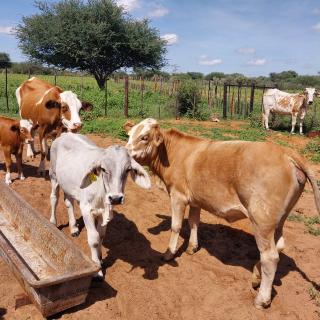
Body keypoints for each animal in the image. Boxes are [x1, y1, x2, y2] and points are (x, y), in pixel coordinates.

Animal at [49, 132, 151, 278]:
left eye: (127, 170)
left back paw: (73, 228)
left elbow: (101, 236)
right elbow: (94, 239)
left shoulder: (105, 213)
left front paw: (100, 258)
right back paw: (53, 222)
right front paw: (97, 270)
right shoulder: (86, 210)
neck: (102, 192)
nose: (116, 198)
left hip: (68, 185)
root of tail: (66, 133)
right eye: (103, 169)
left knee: (68, 202)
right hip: (53, 176)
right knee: (54, 198)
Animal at [125, 119, 320, 308]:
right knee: (279, 247)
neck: (173, 154)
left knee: (270, 257)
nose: (125, 153)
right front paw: (192, 247)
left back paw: (262, 299)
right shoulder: (196, 199)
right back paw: (256, 276)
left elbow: (176, 226)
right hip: (279, 219)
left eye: (144, 137)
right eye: (129, 135)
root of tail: (285, 152)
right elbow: (193, 222)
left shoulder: (178, 195)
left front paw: (169, 253)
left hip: (262, 220)